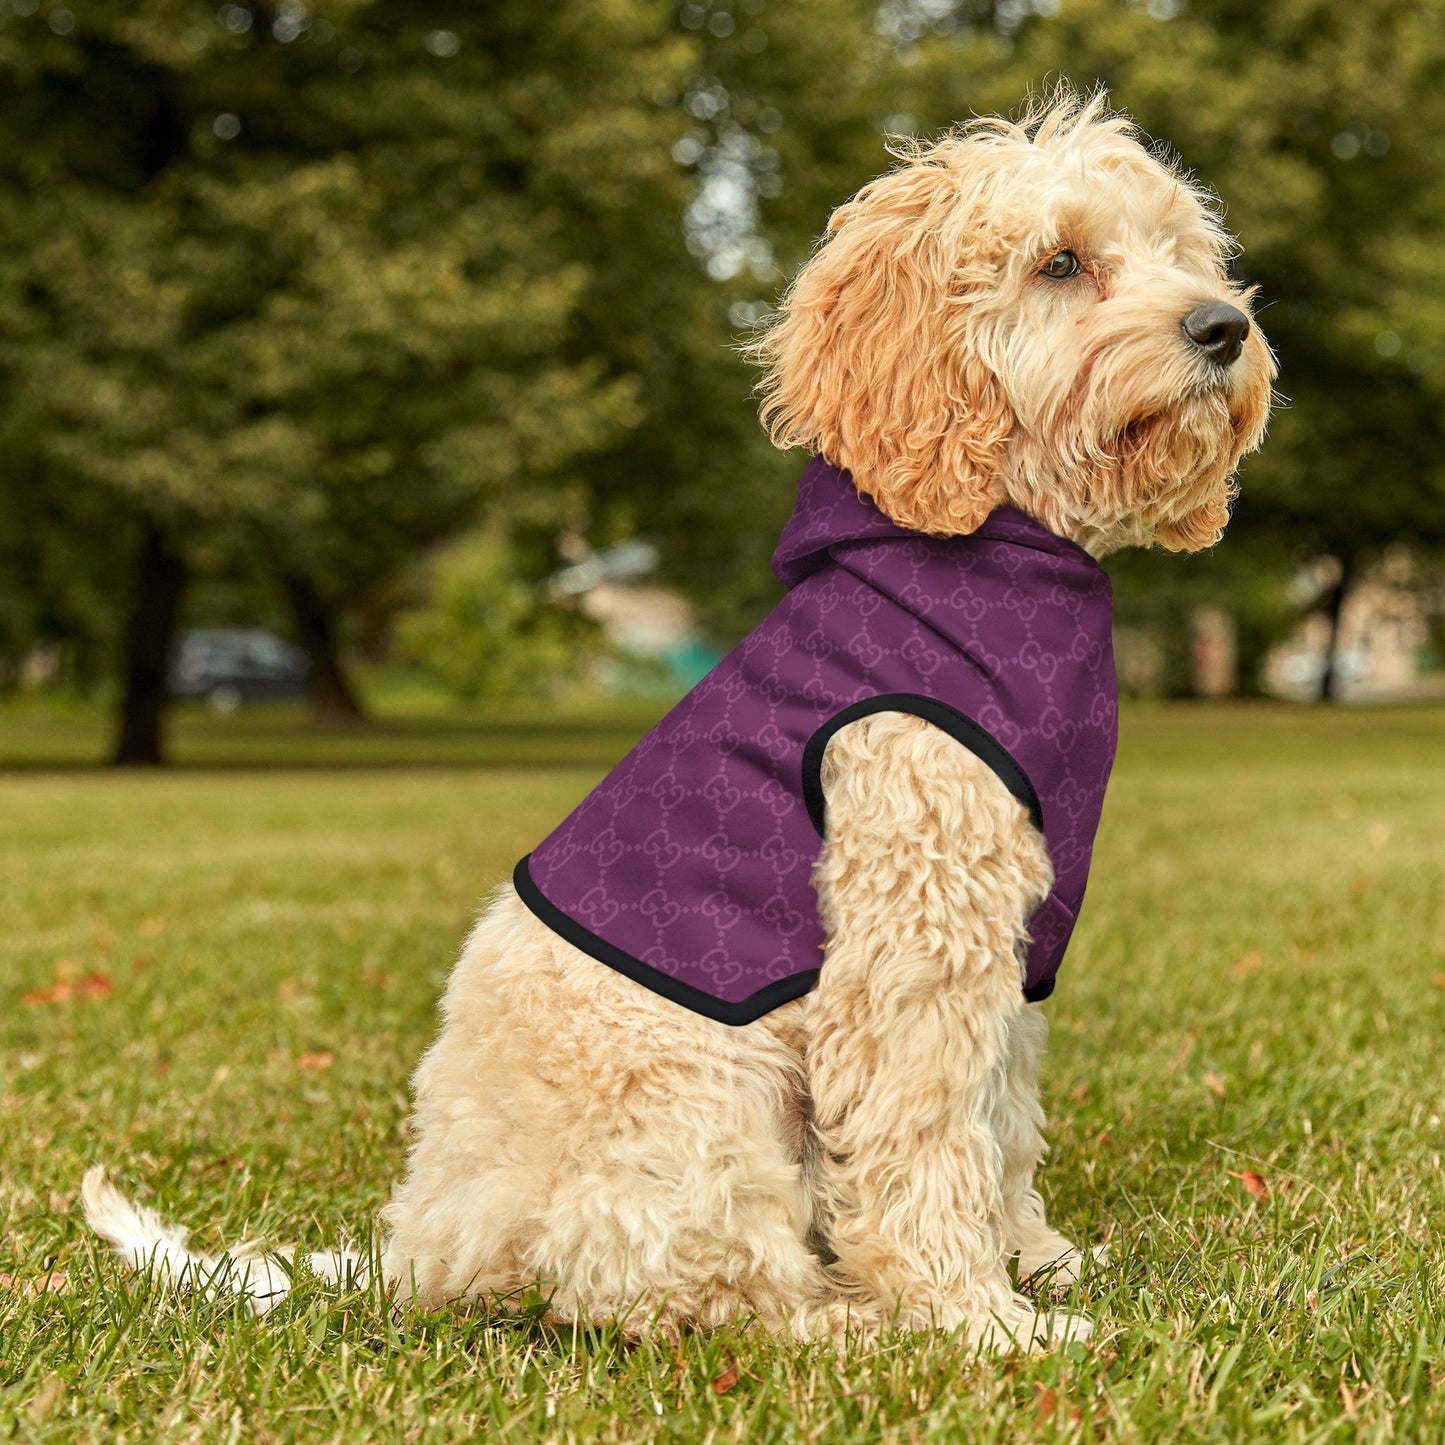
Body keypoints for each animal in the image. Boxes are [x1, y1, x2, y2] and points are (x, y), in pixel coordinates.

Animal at [84, 93, 1271, 1352]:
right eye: (1059, 262)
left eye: (1180, 252)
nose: (1222, 327)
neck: (982, 551)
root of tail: (423, 1248)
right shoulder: (912, 935)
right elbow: (924, 1137)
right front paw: (976, 1318)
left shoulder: (1009, 942)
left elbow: (998, 1119)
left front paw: (1035, 1260)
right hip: (702, 1099)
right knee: (700, 1292)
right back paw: (852, 1322)